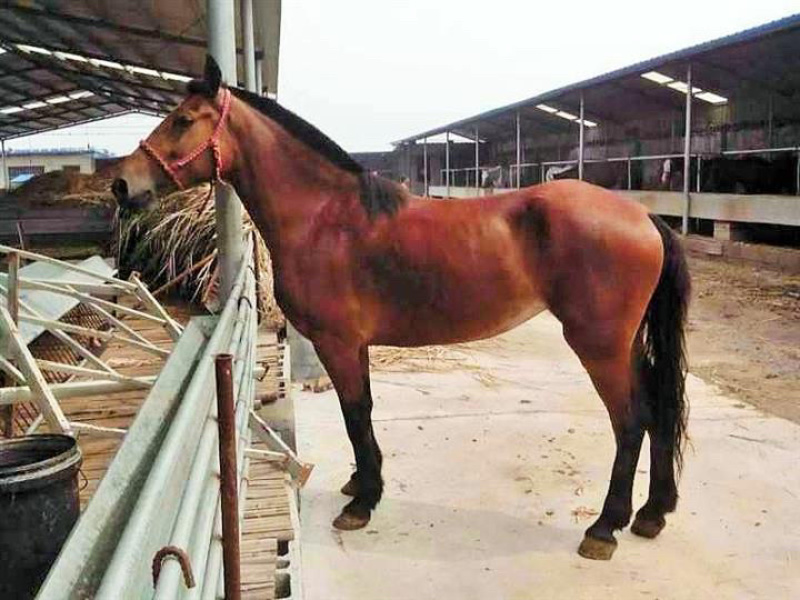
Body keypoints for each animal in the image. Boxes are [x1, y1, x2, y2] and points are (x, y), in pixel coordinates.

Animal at [112, 56, 690, 561]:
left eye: (184, 120)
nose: (121, 184)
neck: (324, 218)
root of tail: (643, 217)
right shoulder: (354, 345)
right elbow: (361, 411)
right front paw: (359, 485)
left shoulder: (338, 343)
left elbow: (355, 412)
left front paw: (363, 501)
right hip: (623, 344)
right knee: (658, 410)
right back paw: (652, 514)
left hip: (598, 346)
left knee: (631, 422)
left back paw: (605, 527)